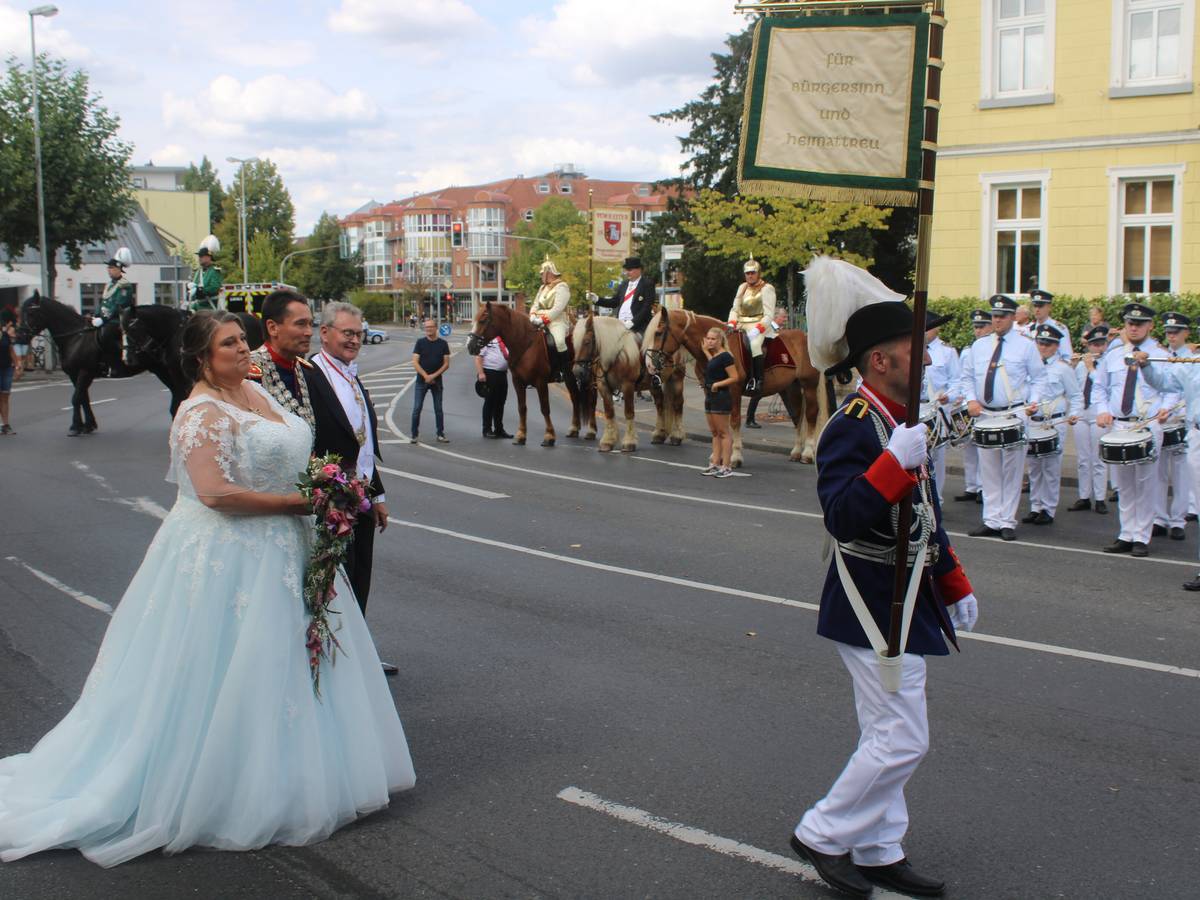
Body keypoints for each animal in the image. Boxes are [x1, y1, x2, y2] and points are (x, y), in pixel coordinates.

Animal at [463, 301, 585, 446]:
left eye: (483, 320)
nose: (470, 346)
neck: (525, 343)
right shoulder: (518, 382)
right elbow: (521, 408)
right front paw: (521, 435)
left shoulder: (541, 382)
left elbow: (545, 408)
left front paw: (549, 436)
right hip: (569, 377)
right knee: (575, 397)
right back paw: (574, 429)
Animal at [571, 312, 686, 451]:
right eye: (573, 343)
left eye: (587, 342)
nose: (577, 371)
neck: (615, 356)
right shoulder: (603, 387)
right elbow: (609, 412)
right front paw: (608, 441)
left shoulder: (628, 386)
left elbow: (629, 412)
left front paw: (629, 442)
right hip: (654, 385)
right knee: (660, 405)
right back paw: (659, 434)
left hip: (677, 378)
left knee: (678, 404)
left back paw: (677, 436)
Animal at [643, 307, 830, 468]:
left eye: (658, 333)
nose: (649, 365)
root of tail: (805, 336)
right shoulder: (710, 391)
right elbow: (717, 421)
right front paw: (716, 456)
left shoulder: (734, 391)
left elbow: (734, 421)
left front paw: (735, 456)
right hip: (790, 388)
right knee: (797, 416)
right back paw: (796, 452)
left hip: (809, 385)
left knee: (811, 415)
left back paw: (807, 453)